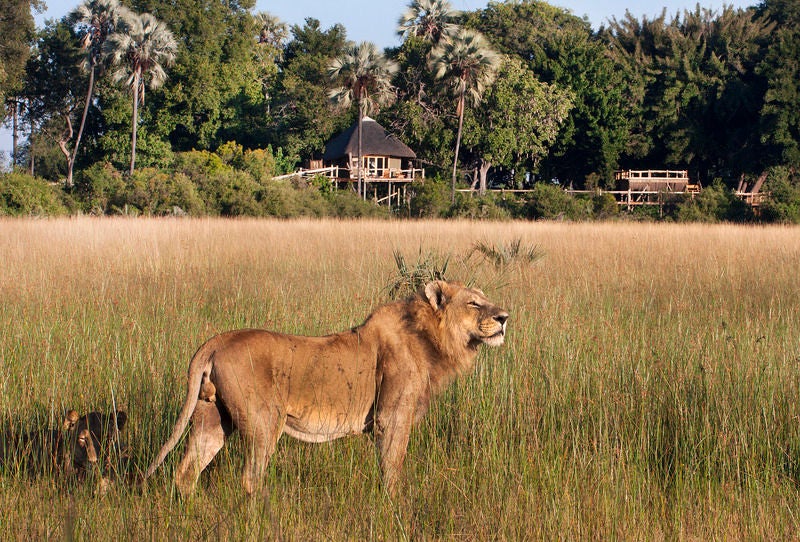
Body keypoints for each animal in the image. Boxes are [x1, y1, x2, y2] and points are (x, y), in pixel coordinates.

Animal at [143, 280, 506, 498]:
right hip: (264, 422)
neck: (431, 339)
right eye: (474, 304)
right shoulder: (391, 418)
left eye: (487, 301)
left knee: (186, 471)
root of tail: (217, 340)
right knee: (250, 478)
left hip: (212, 416)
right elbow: (392, 468)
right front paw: (394, 506)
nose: (505, 317)